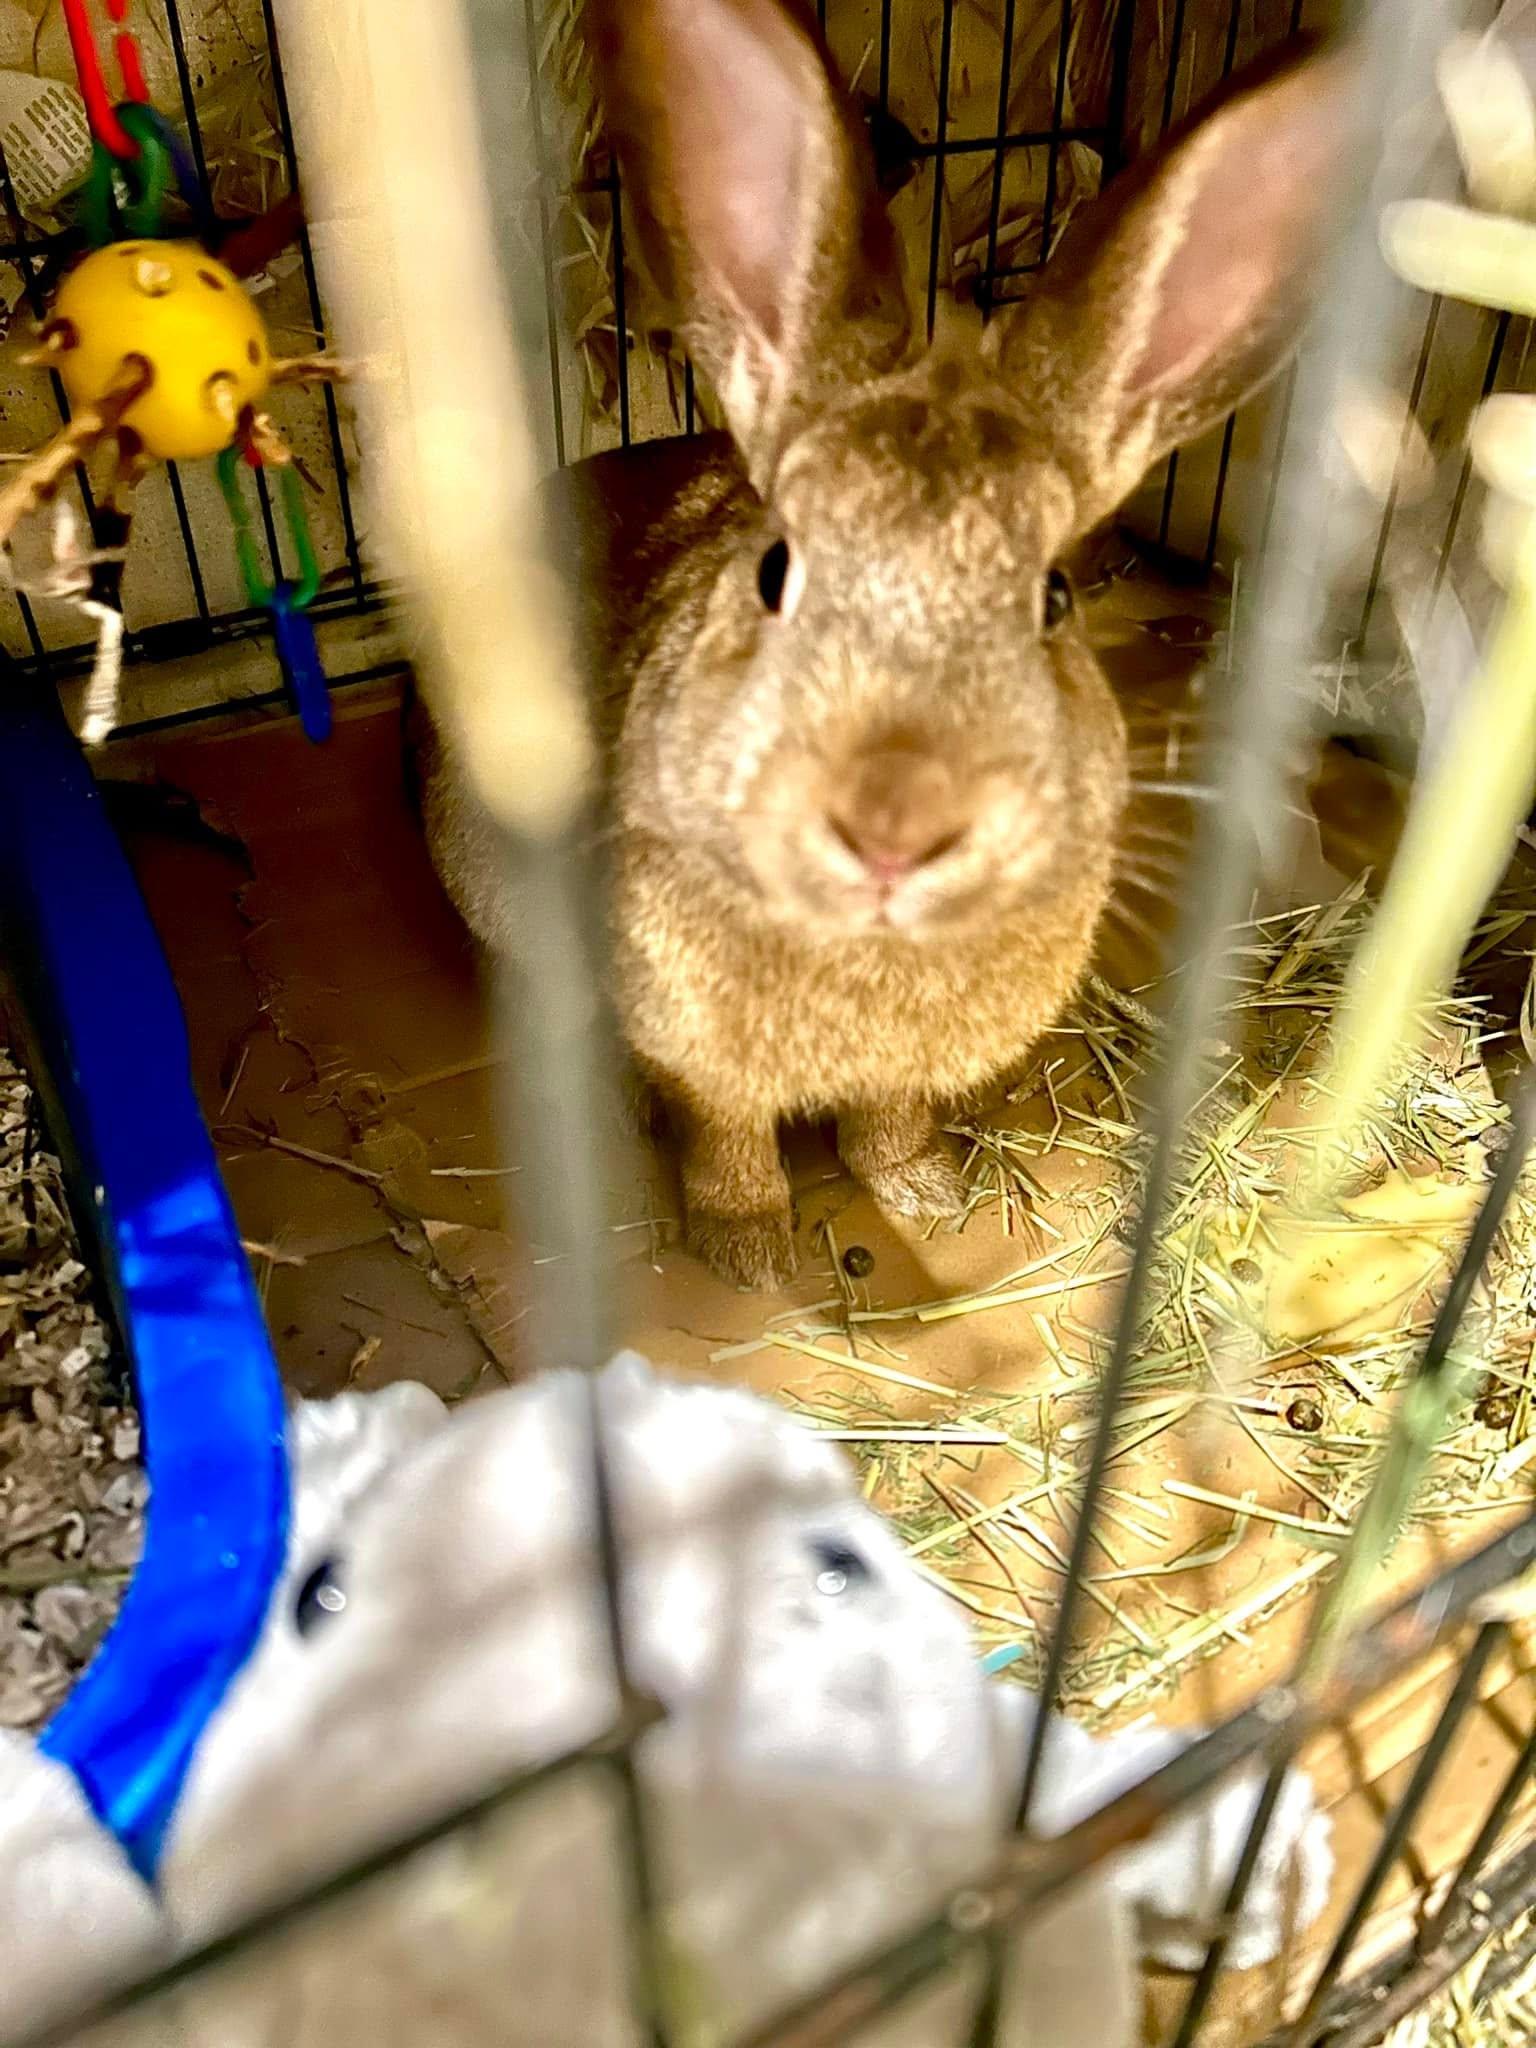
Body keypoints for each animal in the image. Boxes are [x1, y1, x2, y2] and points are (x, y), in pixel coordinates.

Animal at [419, 0, 1358, 1292]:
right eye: (776, 569)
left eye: (1051, 598)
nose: (895, 821)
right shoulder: (696, 1048)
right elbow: (725, 1133)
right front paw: (750, 1254)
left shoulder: (903, 1070)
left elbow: (888, 1119)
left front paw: (928, 1195)